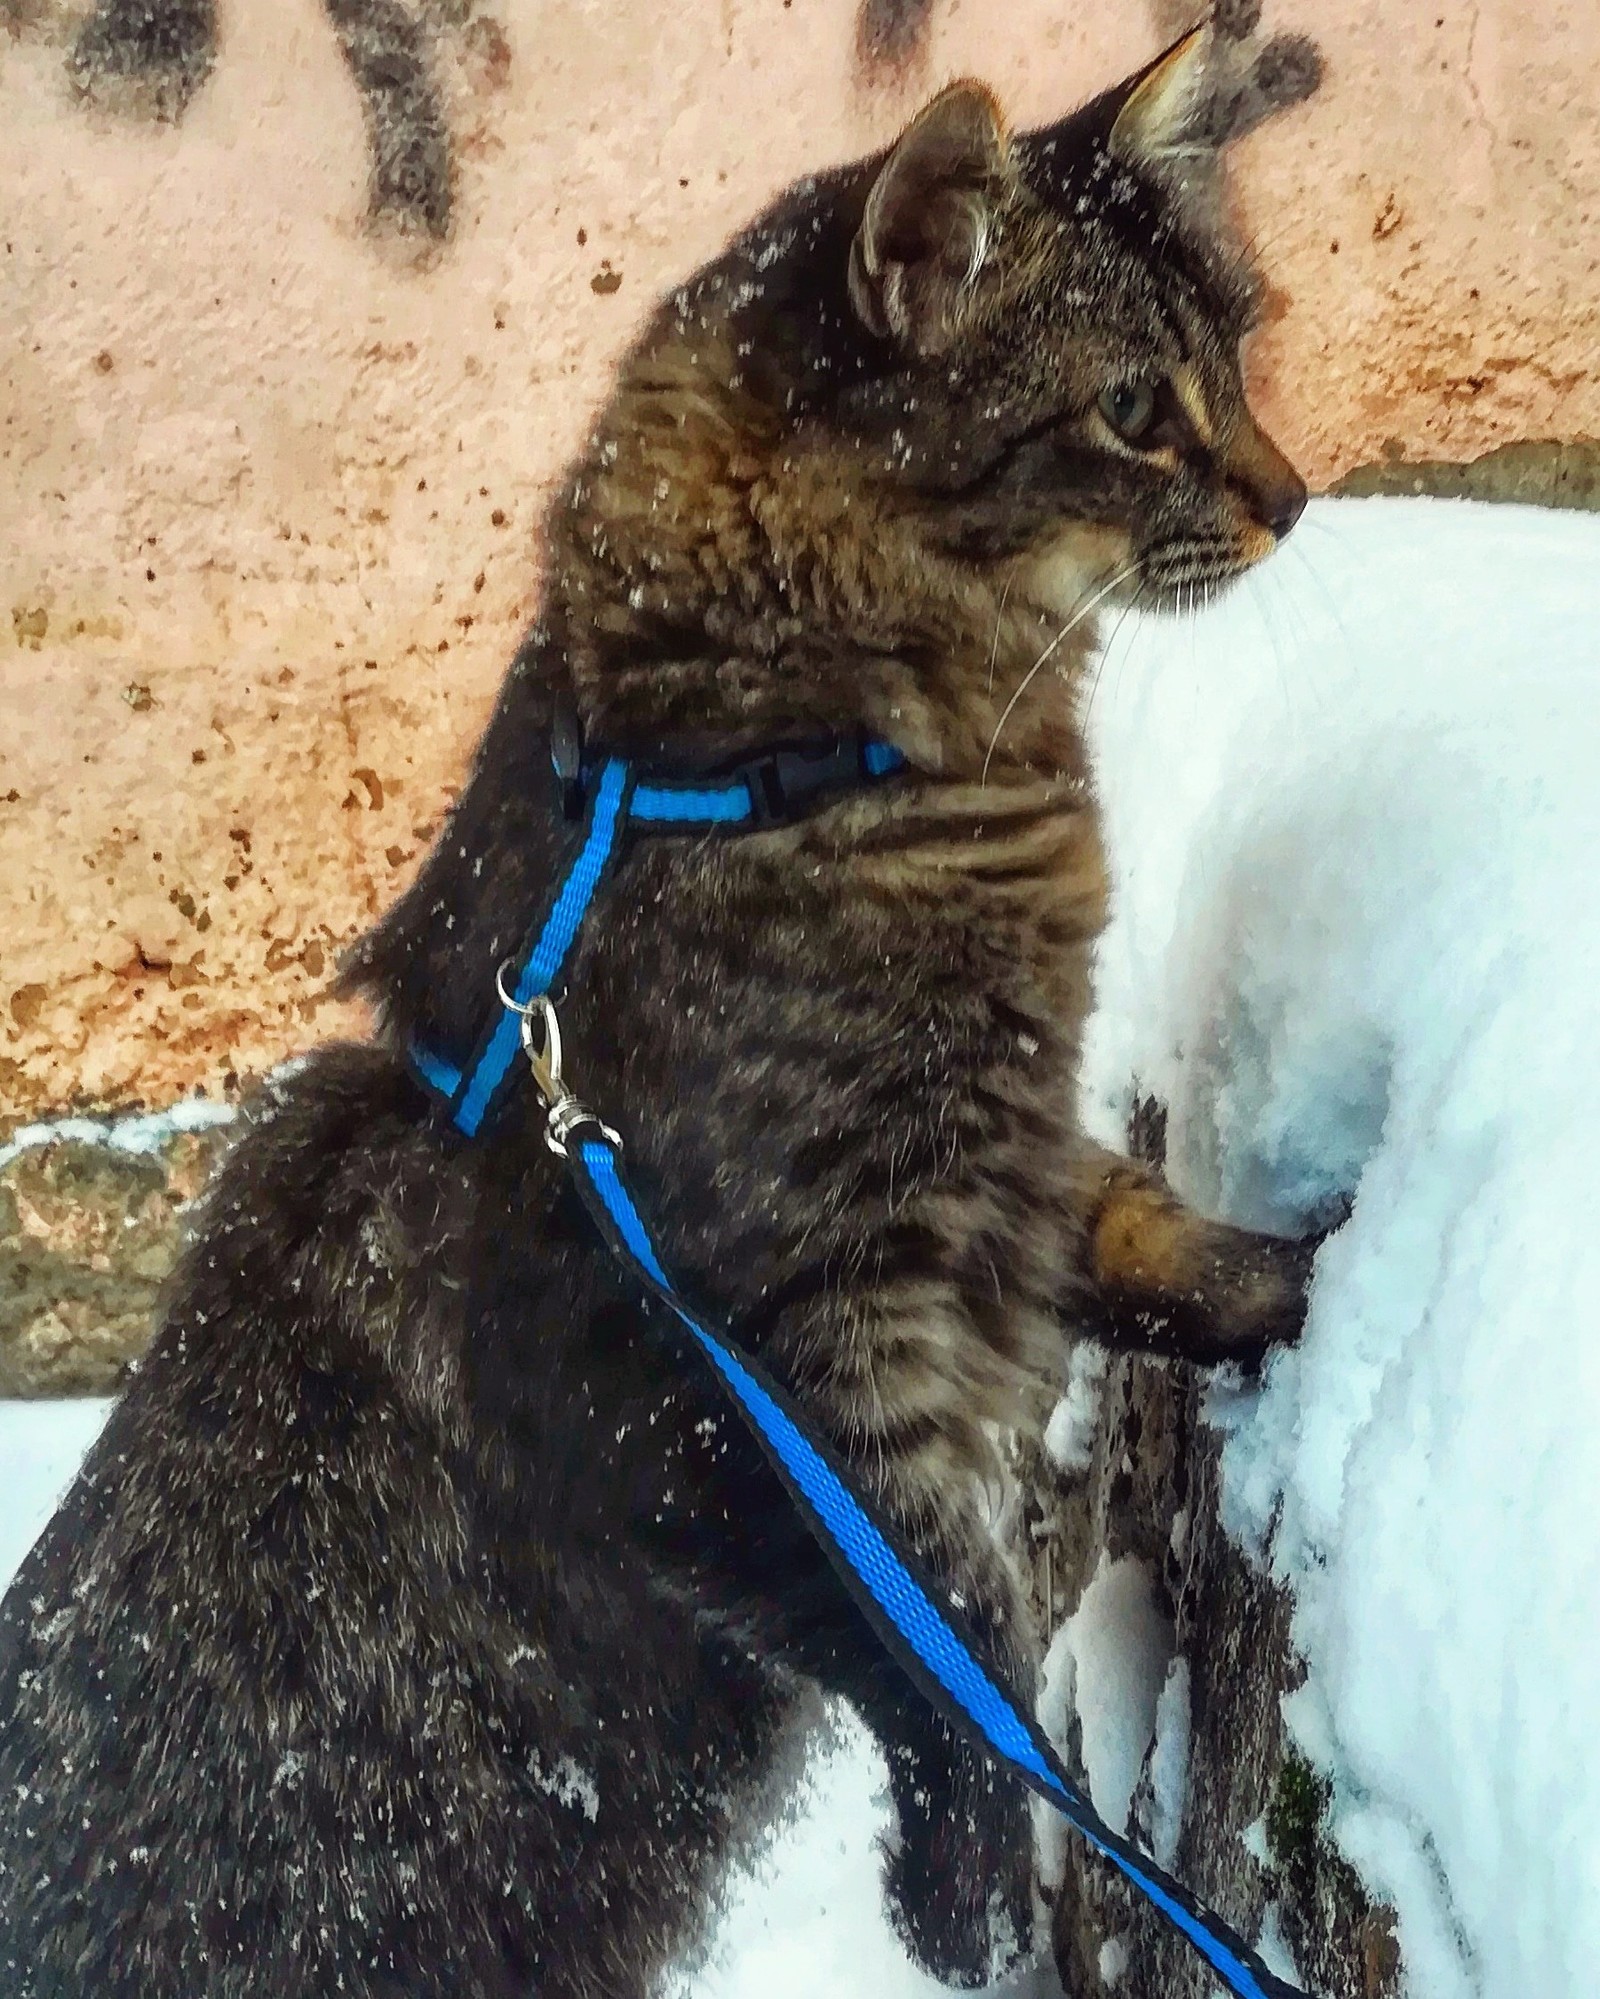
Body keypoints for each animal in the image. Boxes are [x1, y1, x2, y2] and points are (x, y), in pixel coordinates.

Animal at [0, 19, 1320, 1999]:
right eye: (1133, 409)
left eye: (1235, 358)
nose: (1292, 495)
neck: (772, 779)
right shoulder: (745, 1379)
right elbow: (951, 1657)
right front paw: (974, 1909)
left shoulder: (1002, 1171)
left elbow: (1163, 1246)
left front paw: (1334, 1280)